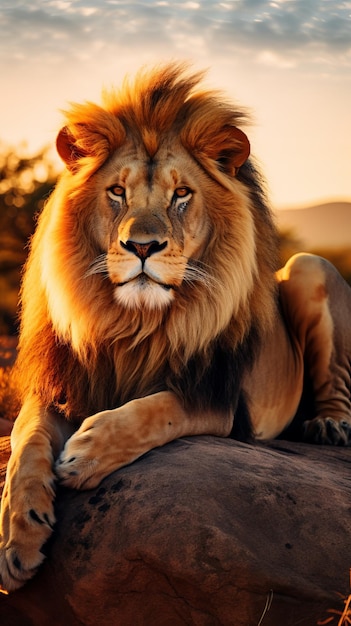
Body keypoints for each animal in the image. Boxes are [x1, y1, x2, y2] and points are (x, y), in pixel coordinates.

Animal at [0, 64, 351, 588]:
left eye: (181, 194)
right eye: (117, 192)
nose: (142, 246)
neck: (134, 324)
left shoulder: (220, 400)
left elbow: (157, 408)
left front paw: (86, 453)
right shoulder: (63, 384)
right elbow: (25, 445)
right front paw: (18, 538)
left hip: (308, 266)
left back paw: (328, 426)